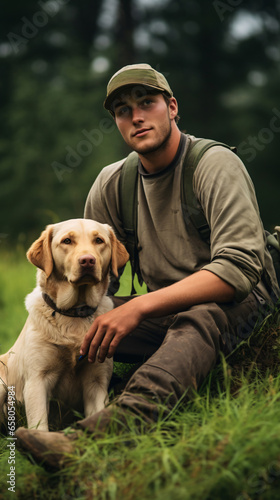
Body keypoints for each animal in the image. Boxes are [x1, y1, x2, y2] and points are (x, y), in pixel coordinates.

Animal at [0, 218, 129, 430]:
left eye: (99, 240)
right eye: (67, 241)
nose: (87, 260)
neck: (74, 313)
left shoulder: (97, 380)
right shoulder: (37, 381)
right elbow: (40, 426)